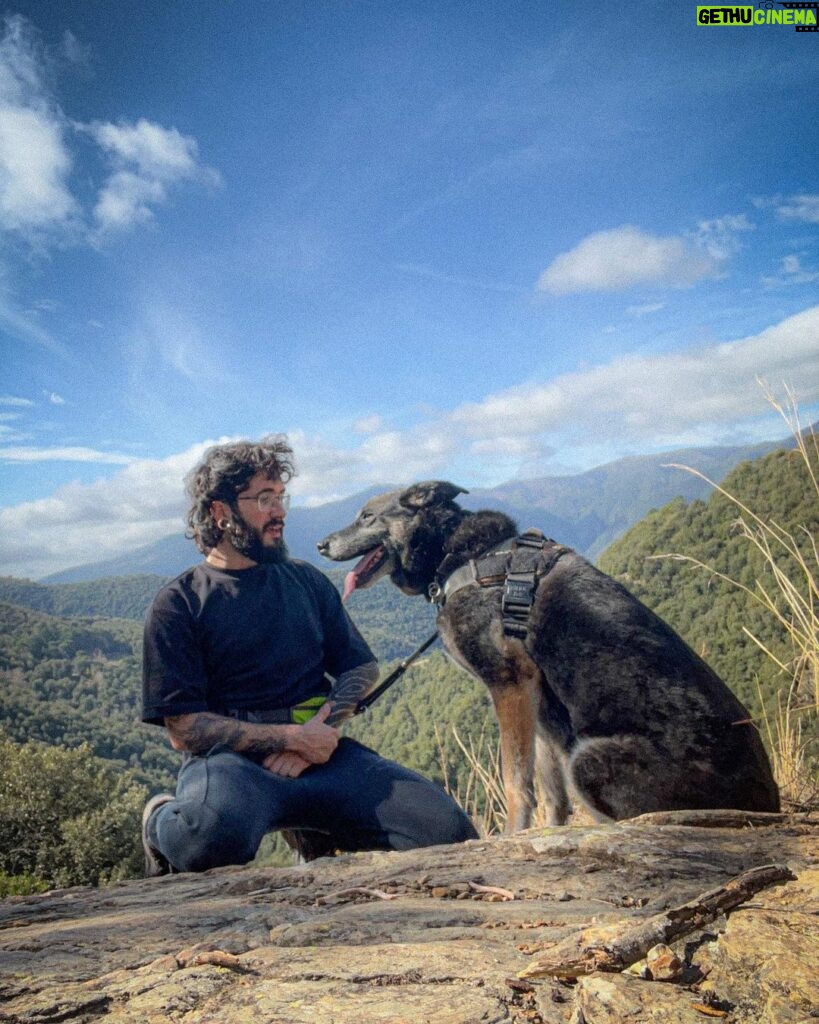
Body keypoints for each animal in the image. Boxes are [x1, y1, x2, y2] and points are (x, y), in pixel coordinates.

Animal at [317, 481, 778, 831]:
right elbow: (549, 790)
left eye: (366, 516)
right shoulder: (536, 705)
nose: (320, 544)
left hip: (589, 761)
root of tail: (769, 803)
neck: (460, 554)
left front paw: (510, 838)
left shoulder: (510, 684)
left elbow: (516, 782)